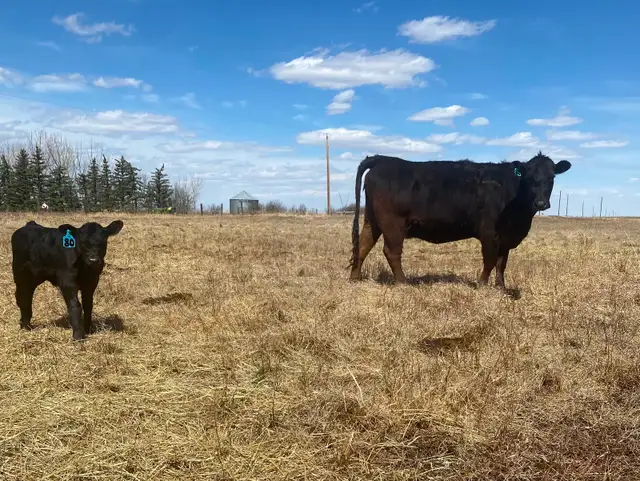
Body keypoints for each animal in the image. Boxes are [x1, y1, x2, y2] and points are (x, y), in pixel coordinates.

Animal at [348, 152, 571, 289]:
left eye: (551, 178)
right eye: (529, 178)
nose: (541, 203)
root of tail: (383, 159)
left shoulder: (506, 237)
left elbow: (501, 263)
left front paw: (501, 287)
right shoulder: (489, 233)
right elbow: (490, 260)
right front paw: (482, 285)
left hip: (372, 220)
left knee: (364, 244)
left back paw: (355, 278)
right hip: (393, 223)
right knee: (391, 251)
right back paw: (402, 282)